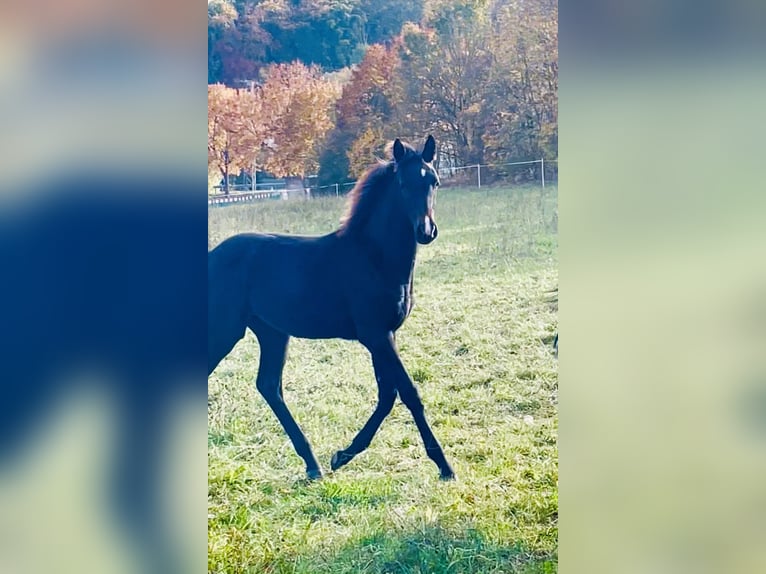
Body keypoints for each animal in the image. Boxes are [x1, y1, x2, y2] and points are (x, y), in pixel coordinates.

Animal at [208, 135, 456, 482]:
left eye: (433, 181)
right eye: (403, 184)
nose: (426, 231)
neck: (374, 258)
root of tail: (211, 256)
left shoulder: (383, 335)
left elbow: (387, 395)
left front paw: (342, 455)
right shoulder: (376, 335)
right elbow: (408, 393)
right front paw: (444, 465)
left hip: (272, 332)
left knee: (268, 385)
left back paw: (312, 464)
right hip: (223, 330)